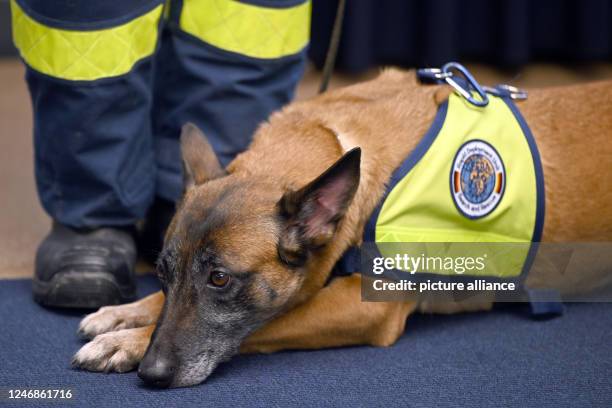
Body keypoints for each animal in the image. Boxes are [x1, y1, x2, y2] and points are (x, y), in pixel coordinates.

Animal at [70, 71, 612, 388]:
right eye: (162, 273)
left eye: (220, 279)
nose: (151, 373)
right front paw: (125, 314)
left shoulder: (364, 307)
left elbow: (269, 321)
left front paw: (127, 342)